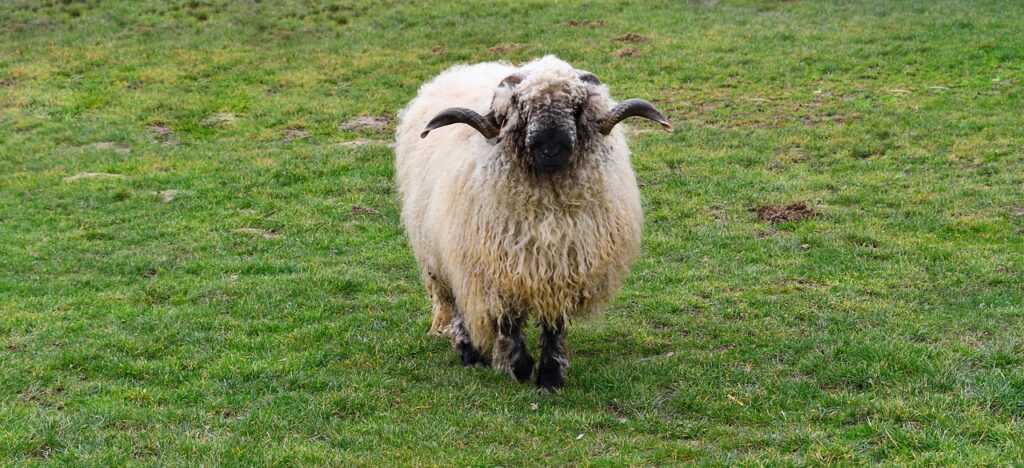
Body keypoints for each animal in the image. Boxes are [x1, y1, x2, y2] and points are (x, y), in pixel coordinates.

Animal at [394, 56, 671, 391]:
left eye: (576, 107)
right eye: (522, 109)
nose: (550, 149)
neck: (546, 206)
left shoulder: (562, 270)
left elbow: (554, 324)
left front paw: (550, 376)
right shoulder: (498, 269)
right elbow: (508, 320)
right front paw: (519, 367)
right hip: (440, 254)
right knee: (455, 301)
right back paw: (469, 352)